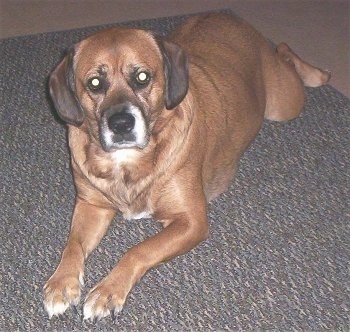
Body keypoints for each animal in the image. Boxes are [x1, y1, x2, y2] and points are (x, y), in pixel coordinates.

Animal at [42, 13, 330, 322]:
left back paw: (316, 71)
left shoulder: (191, 221)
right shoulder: (91, 205)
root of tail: (229, 15)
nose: (121, 124)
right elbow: (72, 244)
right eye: (94, 83)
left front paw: (108, 291)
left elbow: (138, 250)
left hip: (284, 104)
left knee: (287, 55)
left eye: (142, 77)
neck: (129, 161)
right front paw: (62, 284)